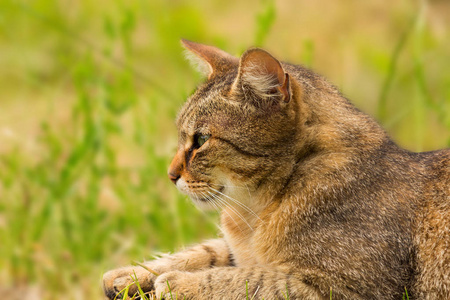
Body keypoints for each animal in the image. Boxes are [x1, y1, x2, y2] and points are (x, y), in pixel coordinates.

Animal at [103, 40, 450, 300]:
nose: (170, 174)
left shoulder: (341, 288)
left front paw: (180, 282)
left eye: (200, 140)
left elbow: (250, 280)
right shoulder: (235, 245)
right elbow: (207, 251)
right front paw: (134, 273)